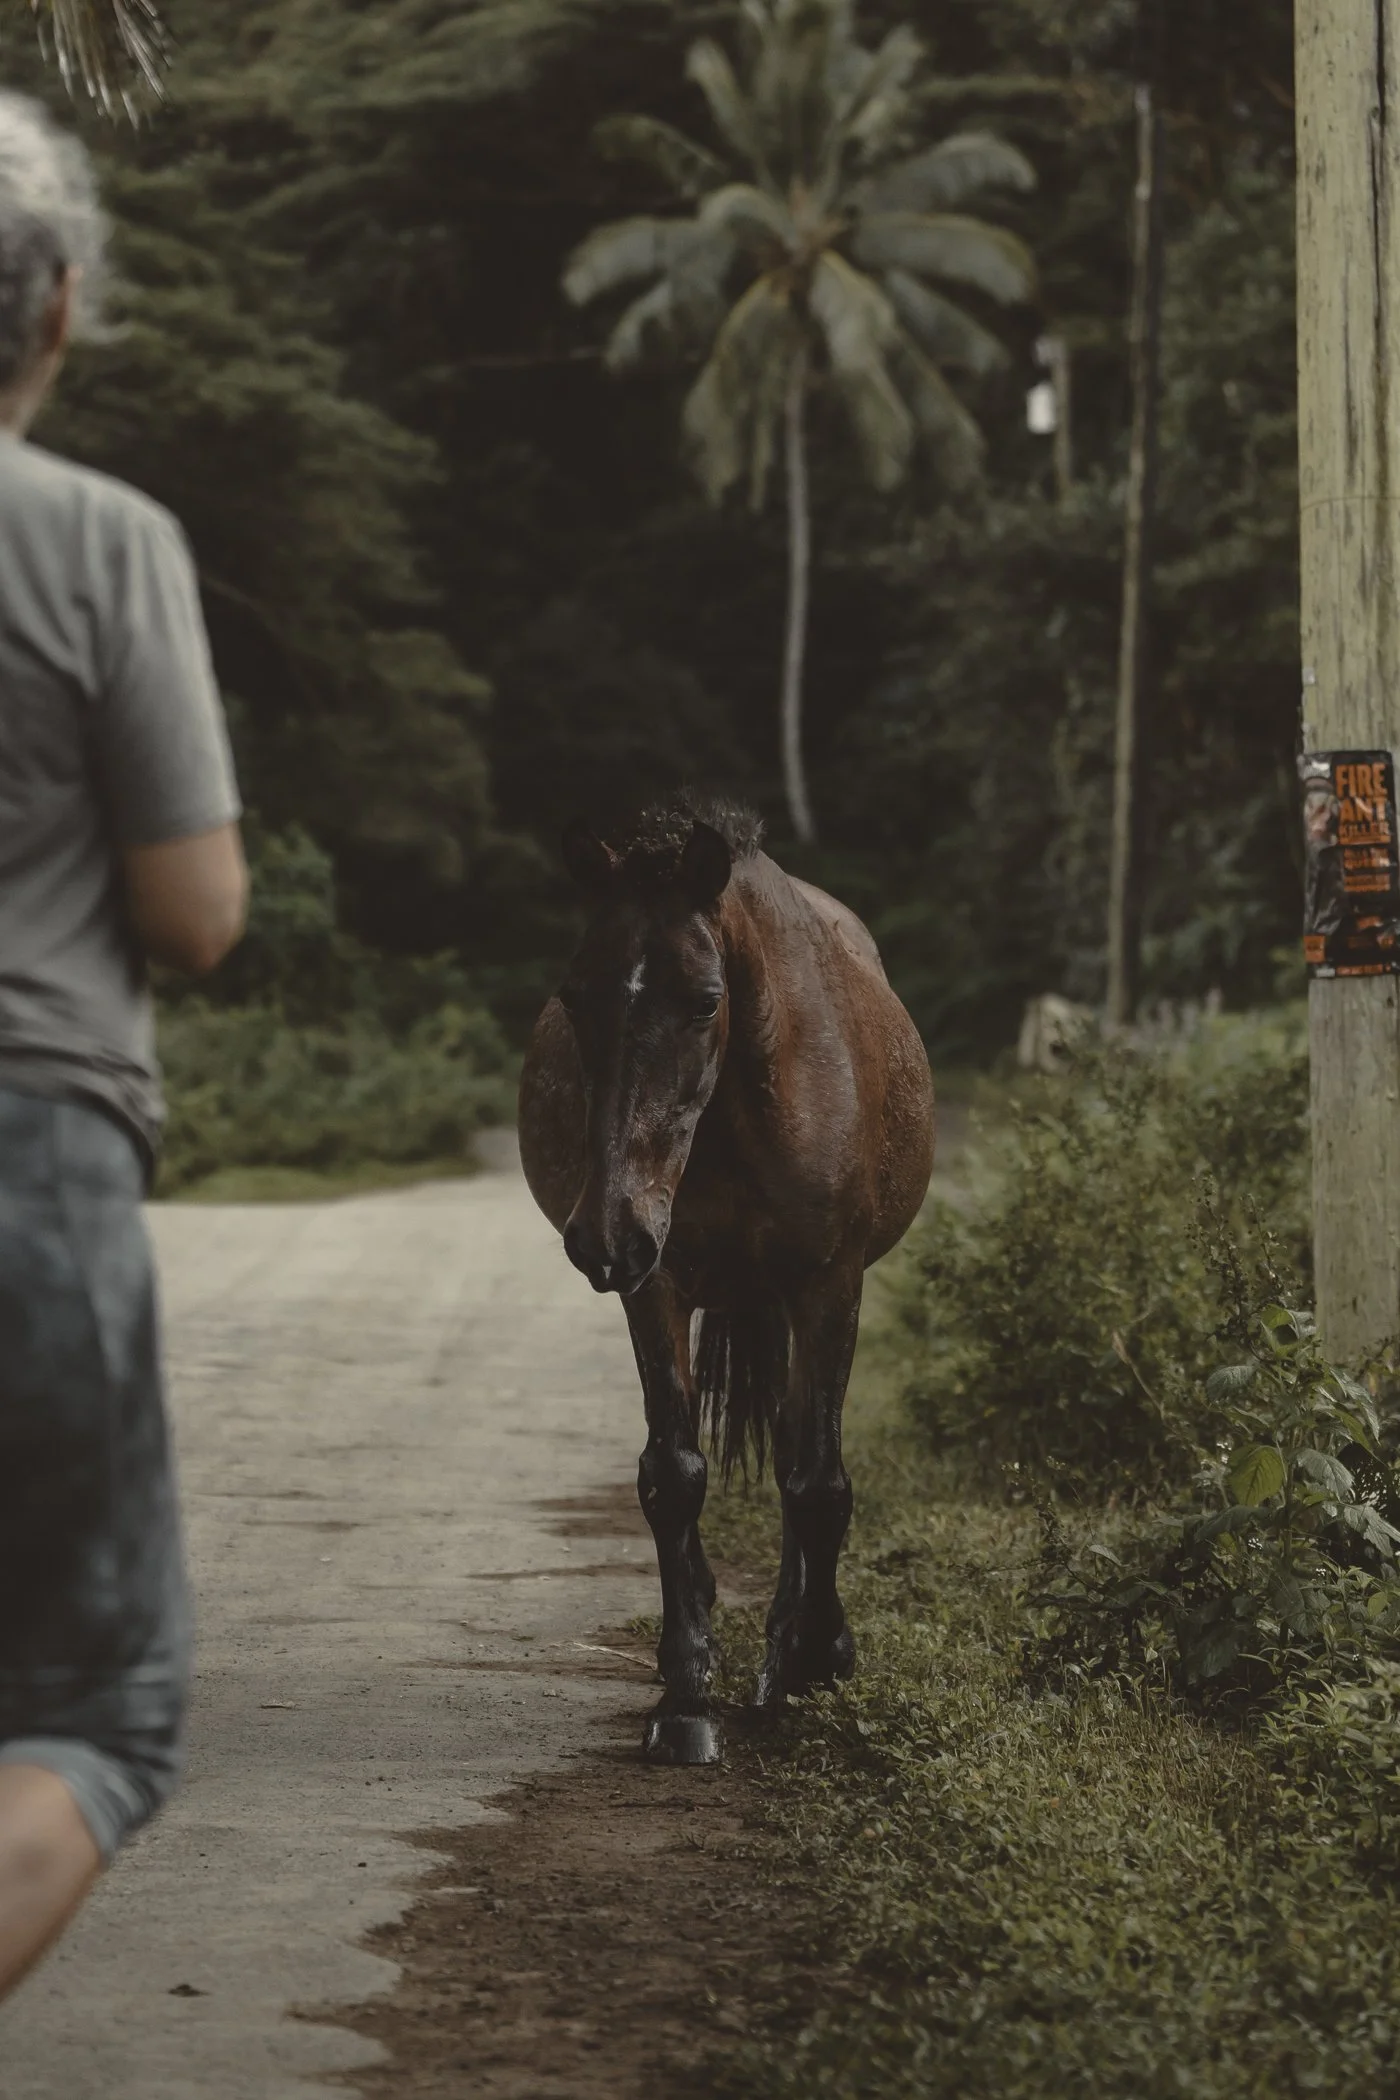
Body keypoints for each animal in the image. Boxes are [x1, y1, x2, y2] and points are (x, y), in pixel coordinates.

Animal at [518, 797, 935, 1764]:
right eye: (575, 996)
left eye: (705, 1001)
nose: (603, 1232)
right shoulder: (655, 1283)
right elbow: (673, 1475)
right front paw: (685, 1696)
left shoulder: (830, 1286)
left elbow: (819, 1482)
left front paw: (817, 1656)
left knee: (795, 1458)